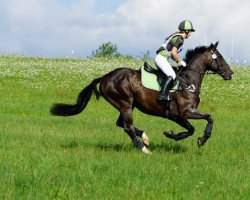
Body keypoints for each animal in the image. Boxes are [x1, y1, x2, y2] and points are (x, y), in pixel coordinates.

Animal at [50, 42, 232, 154]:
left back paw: (144, 138)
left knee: (121, 124)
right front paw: (193, 138)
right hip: (124, 103)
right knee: (127, 127)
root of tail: (105, 77)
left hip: (127, 104)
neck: (188, 82)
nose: (230, 73)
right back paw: (144, 149)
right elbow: (202, 122)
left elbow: (198, 125)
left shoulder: (180, 115)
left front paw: (177, 135)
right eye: (220, 57)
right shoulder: (183, 113)